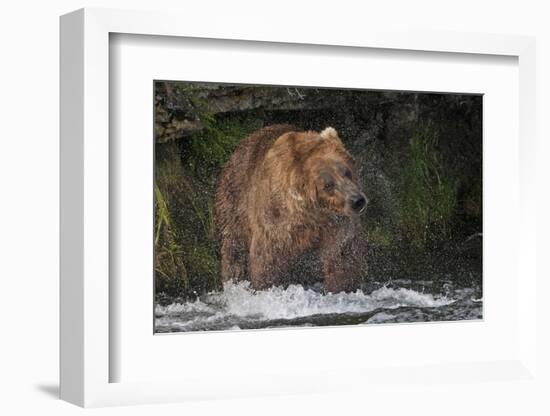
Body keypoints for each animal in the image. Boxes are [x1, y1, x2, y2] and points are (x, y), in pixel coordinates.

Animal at [215, 123, 366, 292]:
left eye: (347, 172)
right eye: (328, 184)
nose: (357, 200)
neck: (312, 215)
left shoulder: (335, 223)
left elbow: (341, 255)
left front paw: (341, 286)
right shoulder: (276, 221)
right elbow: (268, 258)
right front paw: (266, 286)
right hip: (234, 199)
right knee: (233, 248)